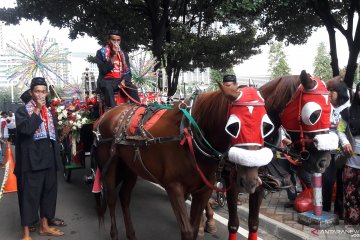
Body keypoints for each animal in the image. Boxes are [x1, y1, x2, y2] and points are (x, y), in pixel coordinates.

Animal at [92, 84, 272, 238]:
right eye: (233, 126)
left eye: (266, 126)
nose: (251, 181)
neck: (190, 135)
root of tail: (106, 115)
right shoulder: (174, 187)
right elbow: (186, 231)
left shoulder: (203, 190)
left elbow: (194, 229)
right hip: (109, 165)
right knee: (112, 198)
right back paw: (114, 234)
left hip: (131, 167)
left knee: (124, 197)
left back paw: (131, 234)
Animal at [204, 71, 338, 240]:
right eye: (314, 115)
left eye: (332, 113)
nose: (324, 162)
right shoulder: (231, 181)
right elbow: (233, 224)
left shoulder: (259, 183)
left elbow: (254, 223)